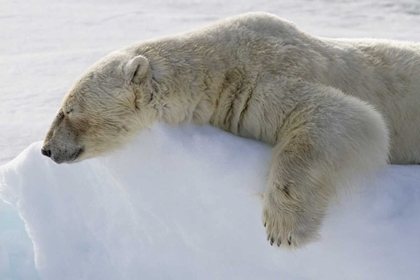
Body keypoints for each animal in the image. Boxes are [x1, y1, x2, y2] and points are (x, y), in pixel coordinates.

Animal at [42, 12, 420, 248]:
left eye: (67, 111)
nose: (46, 149)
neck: (217, 68)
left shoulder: (265, 78)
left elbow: (349, 115)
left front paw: (282, 228)